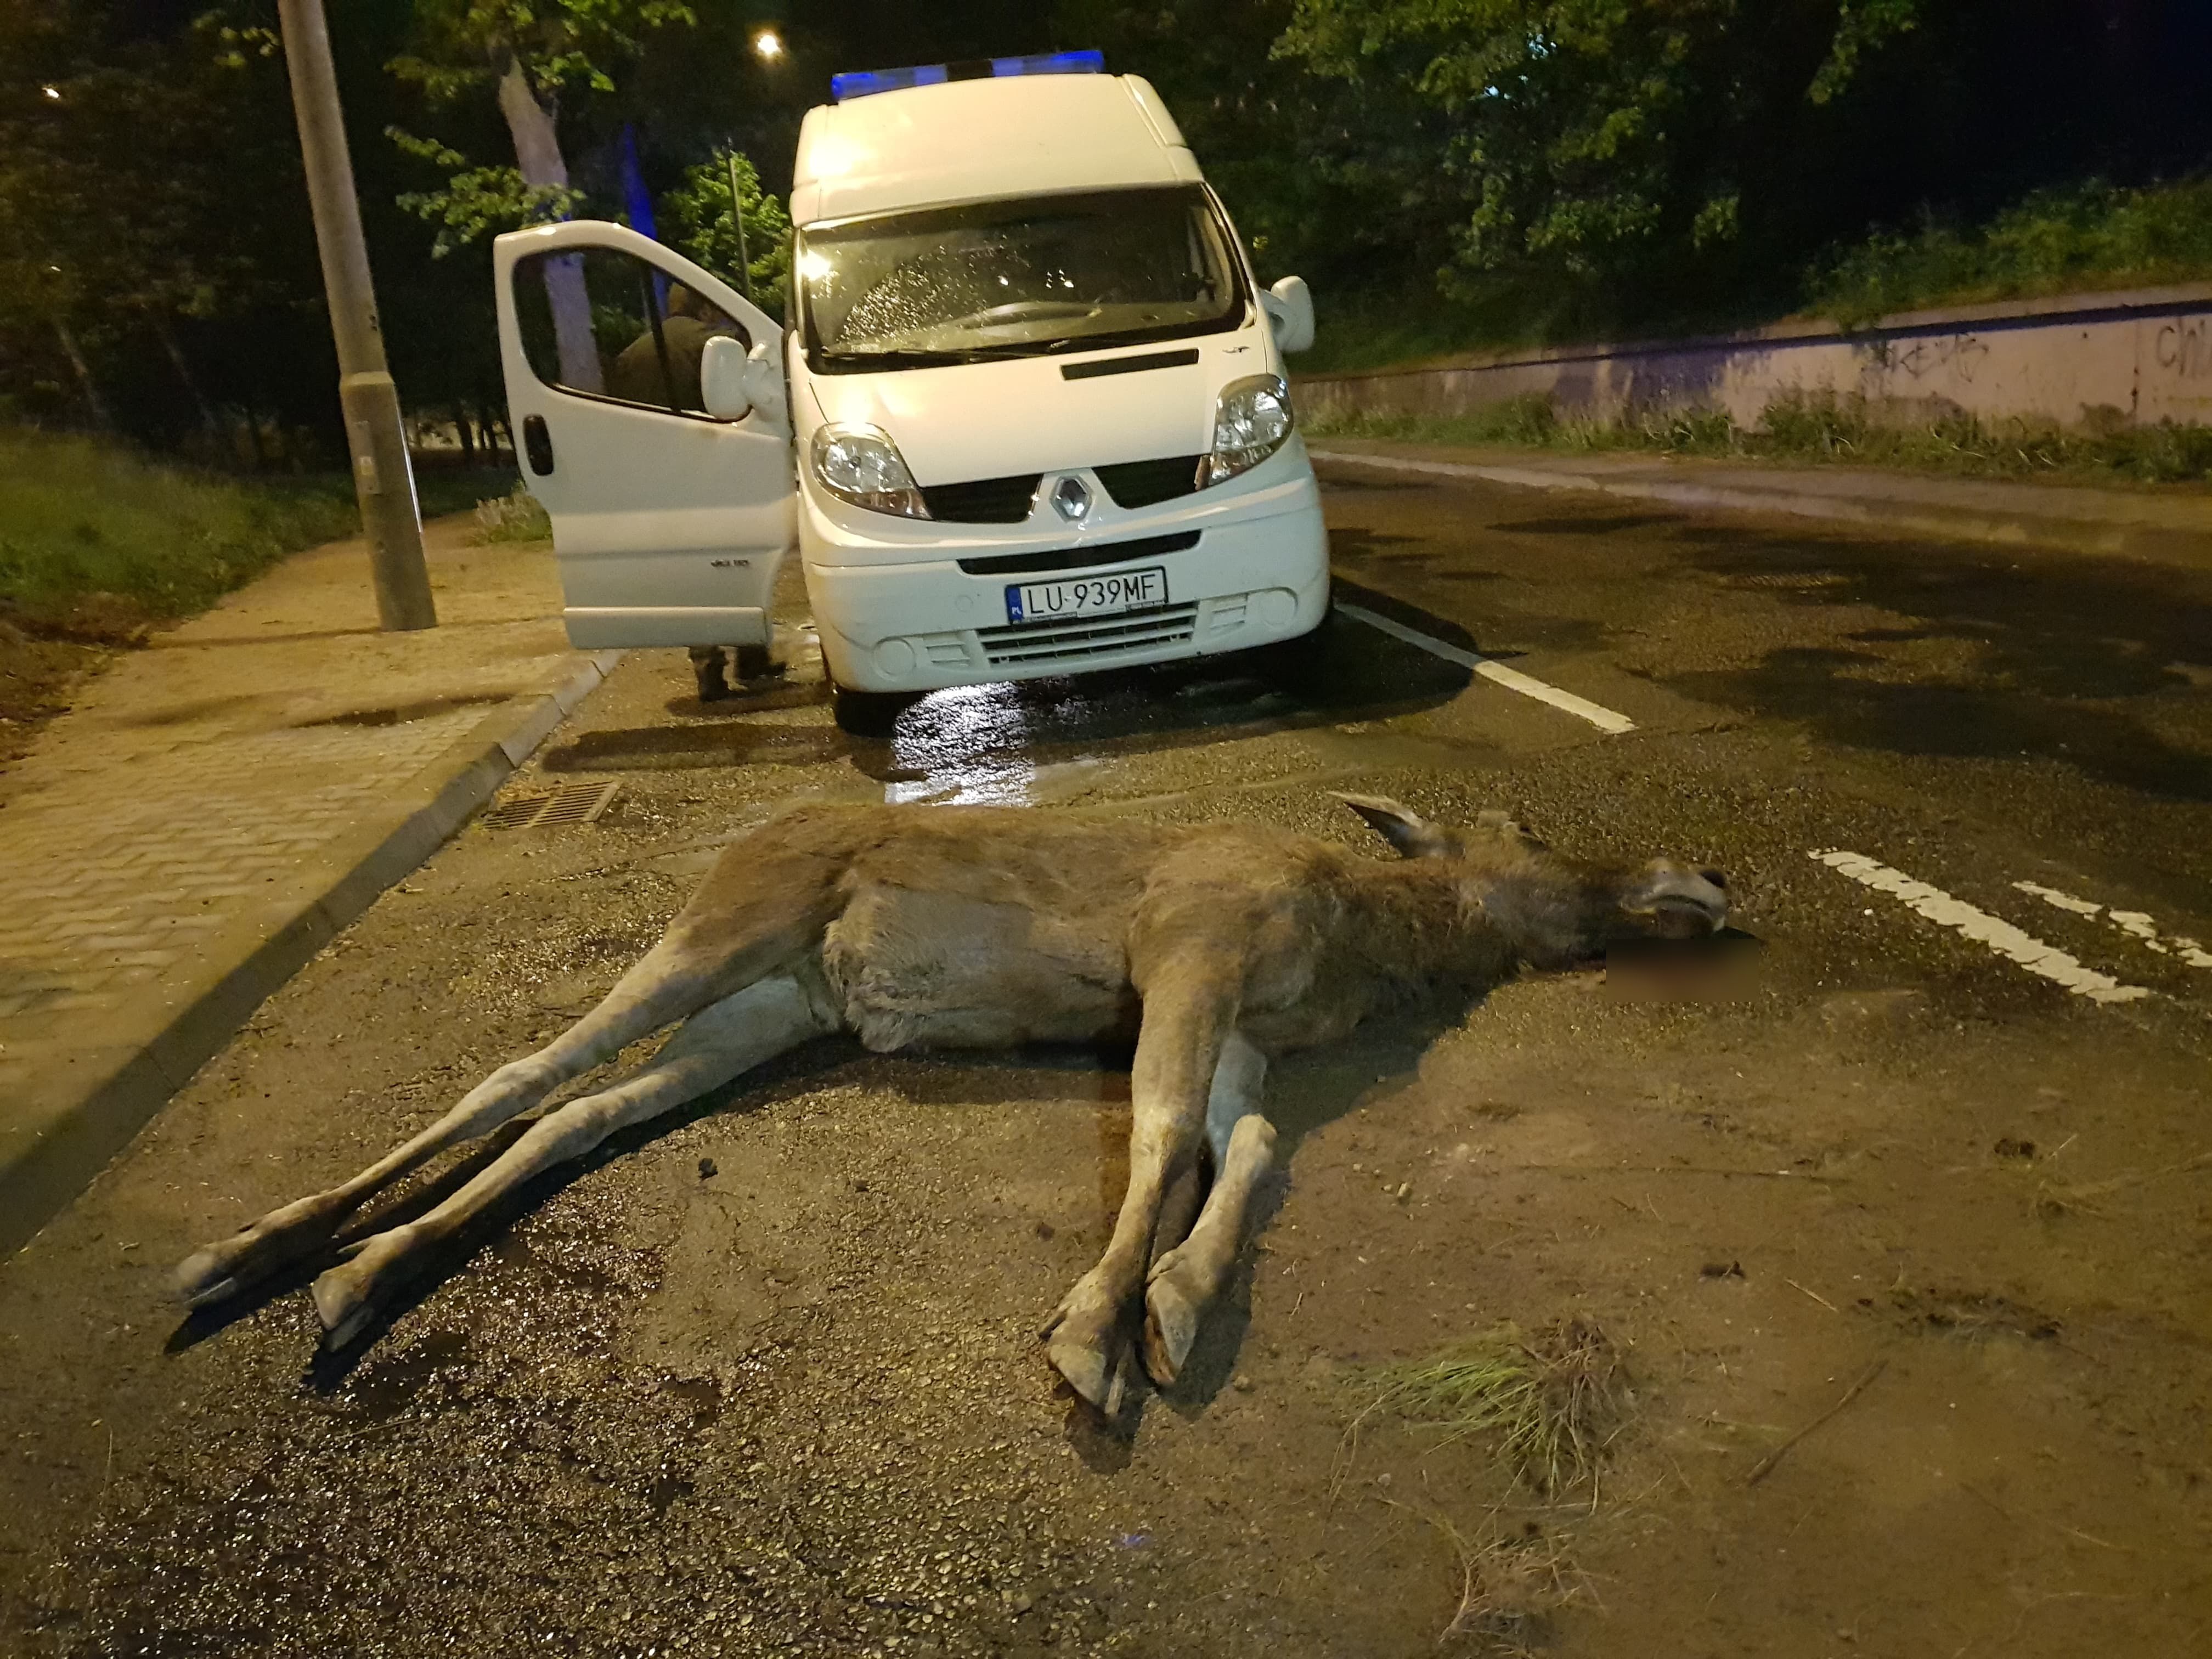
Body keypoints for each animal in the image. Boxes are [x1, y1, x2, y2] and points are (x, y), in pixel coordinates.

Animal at [177, 800, 1725, 1407]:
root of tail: (742, 840)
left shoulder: (1248, 1032)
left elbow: (1252, 1144)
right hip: (729, 927)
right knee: (527, 1072)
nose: (1702, 876)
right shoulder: (1191, 944)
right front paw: (1095, 1329)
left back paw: (361, 1273)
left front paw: (1177, 1303)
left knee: (587, 1114)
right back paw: (256, 1255)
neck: (1365, 944)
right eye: (1535, 845)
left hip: (775, 1008)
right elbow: (1162, 1134)